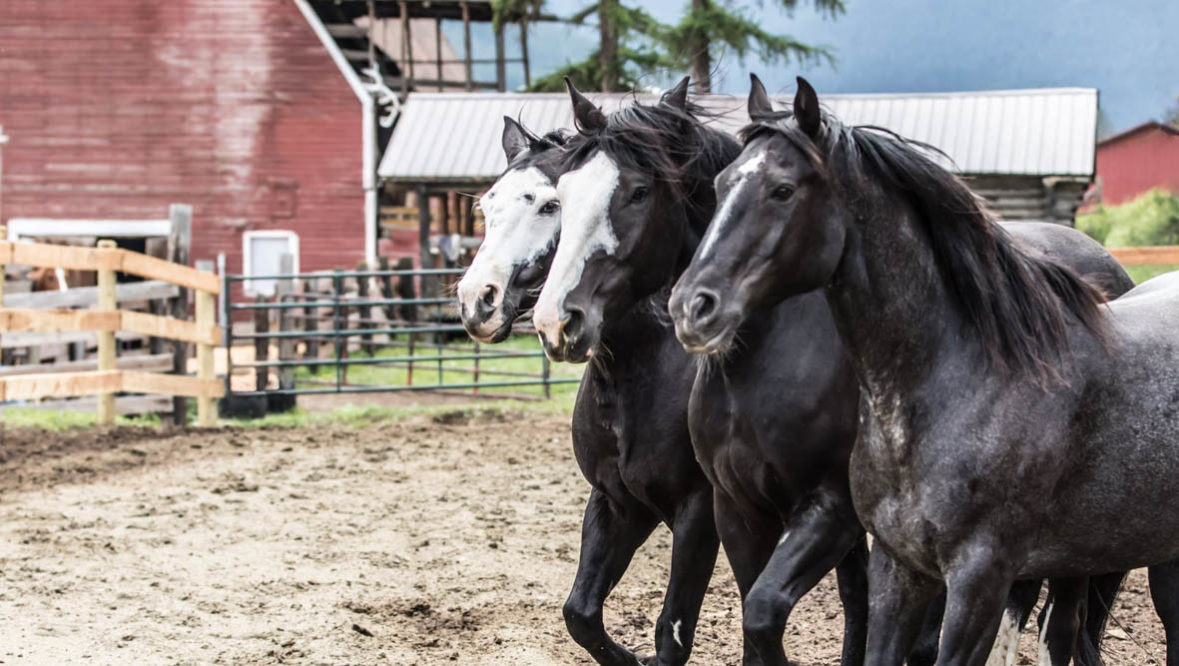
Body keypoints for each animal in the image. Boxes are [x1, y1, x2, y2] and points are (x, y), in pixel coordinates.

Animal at [462, 92, 728, 665]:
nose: (477, 301)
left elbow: (672, 633)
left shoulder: (699, 512)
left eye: (548, 205)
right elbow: (580, 614)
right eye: (487, 206)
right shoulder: (617, 501)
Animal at [540, 77, 1136, 665]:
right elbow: (586, 613)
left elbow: (733, 620)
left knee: (1055, 625)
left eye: (638, 191)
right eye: (562, 198)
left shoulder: (809, 511)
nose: (556, 319)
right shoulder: (702, 508)